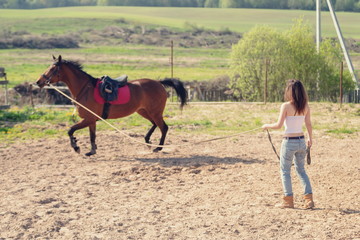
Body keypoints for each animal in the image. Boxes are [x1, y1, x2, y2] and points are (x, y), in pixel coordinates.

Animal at [35, 55, 188, 156]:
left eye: (53, 69)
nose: (38, 82)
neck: (85, 89)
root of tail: (159, 83)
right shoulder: (91, 120)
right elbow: (92, 136)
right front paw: (92, 151)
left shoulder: (88, 119)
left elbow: (70, 130)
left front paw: (76, 146)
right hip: (144, 111)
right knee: (156, 125)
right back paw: (147, 141)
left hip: (154, 112)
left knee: (164, 127)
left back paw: (158, 147)